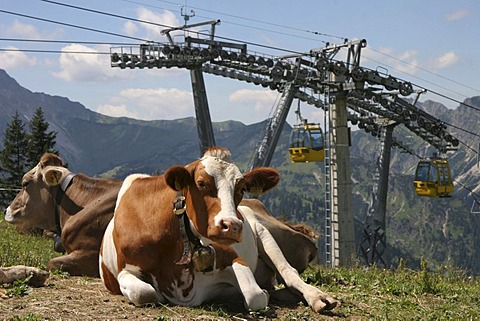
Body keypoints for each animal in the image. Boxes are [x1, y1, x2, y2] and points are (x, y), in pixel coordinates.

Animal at [99, 146, 336, 312]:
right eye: (201, 183)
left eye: (242, 188)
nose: (232, 226)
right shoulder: (123, 272)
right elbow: (145, 293)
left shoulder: (232, 257)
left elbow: (255, 295)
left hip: (263, 233)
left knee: (289, 272)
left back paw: (318, 297)